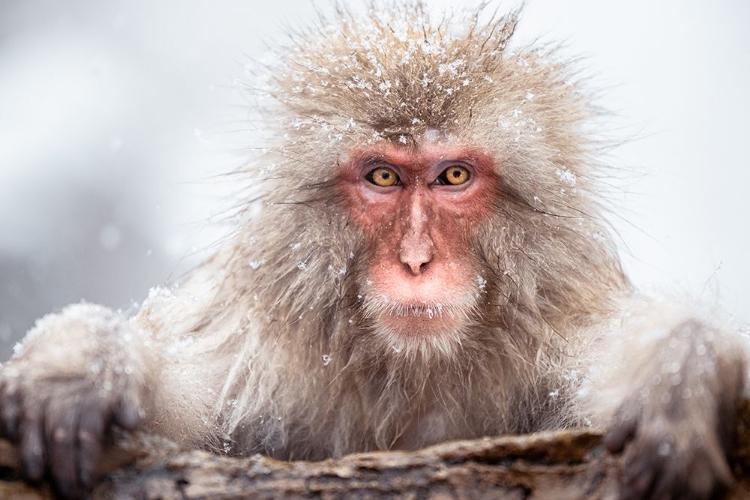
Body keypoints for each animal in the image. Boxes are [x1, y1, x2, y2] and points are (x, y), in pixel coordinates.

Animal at [2, 3, 748, 500]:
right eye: (384, 177)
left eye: (453, 176)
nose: (416, 261)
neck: (413, 372)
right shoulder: (263, 362)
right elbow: (184, 421)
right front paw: (83, 361)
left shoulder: (555, 341)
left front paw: (680, 369)